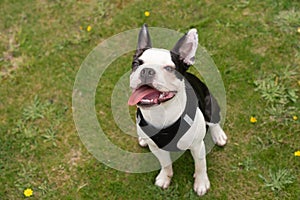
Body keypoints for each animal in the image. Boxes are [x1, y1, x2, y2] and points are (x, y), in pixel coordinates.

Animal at [127, 24, 227, 196]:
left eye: (169, 68)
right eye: (136, 64)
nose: (147, 70)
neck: (161, 112)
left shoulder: (197, 146)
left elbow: (200, 166)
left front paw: (201, 183)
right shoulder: (157, 148)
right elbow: (166, 164)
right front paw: (165, 178)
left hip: (210, 105)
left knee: (214, 122)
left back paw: (218, 135)